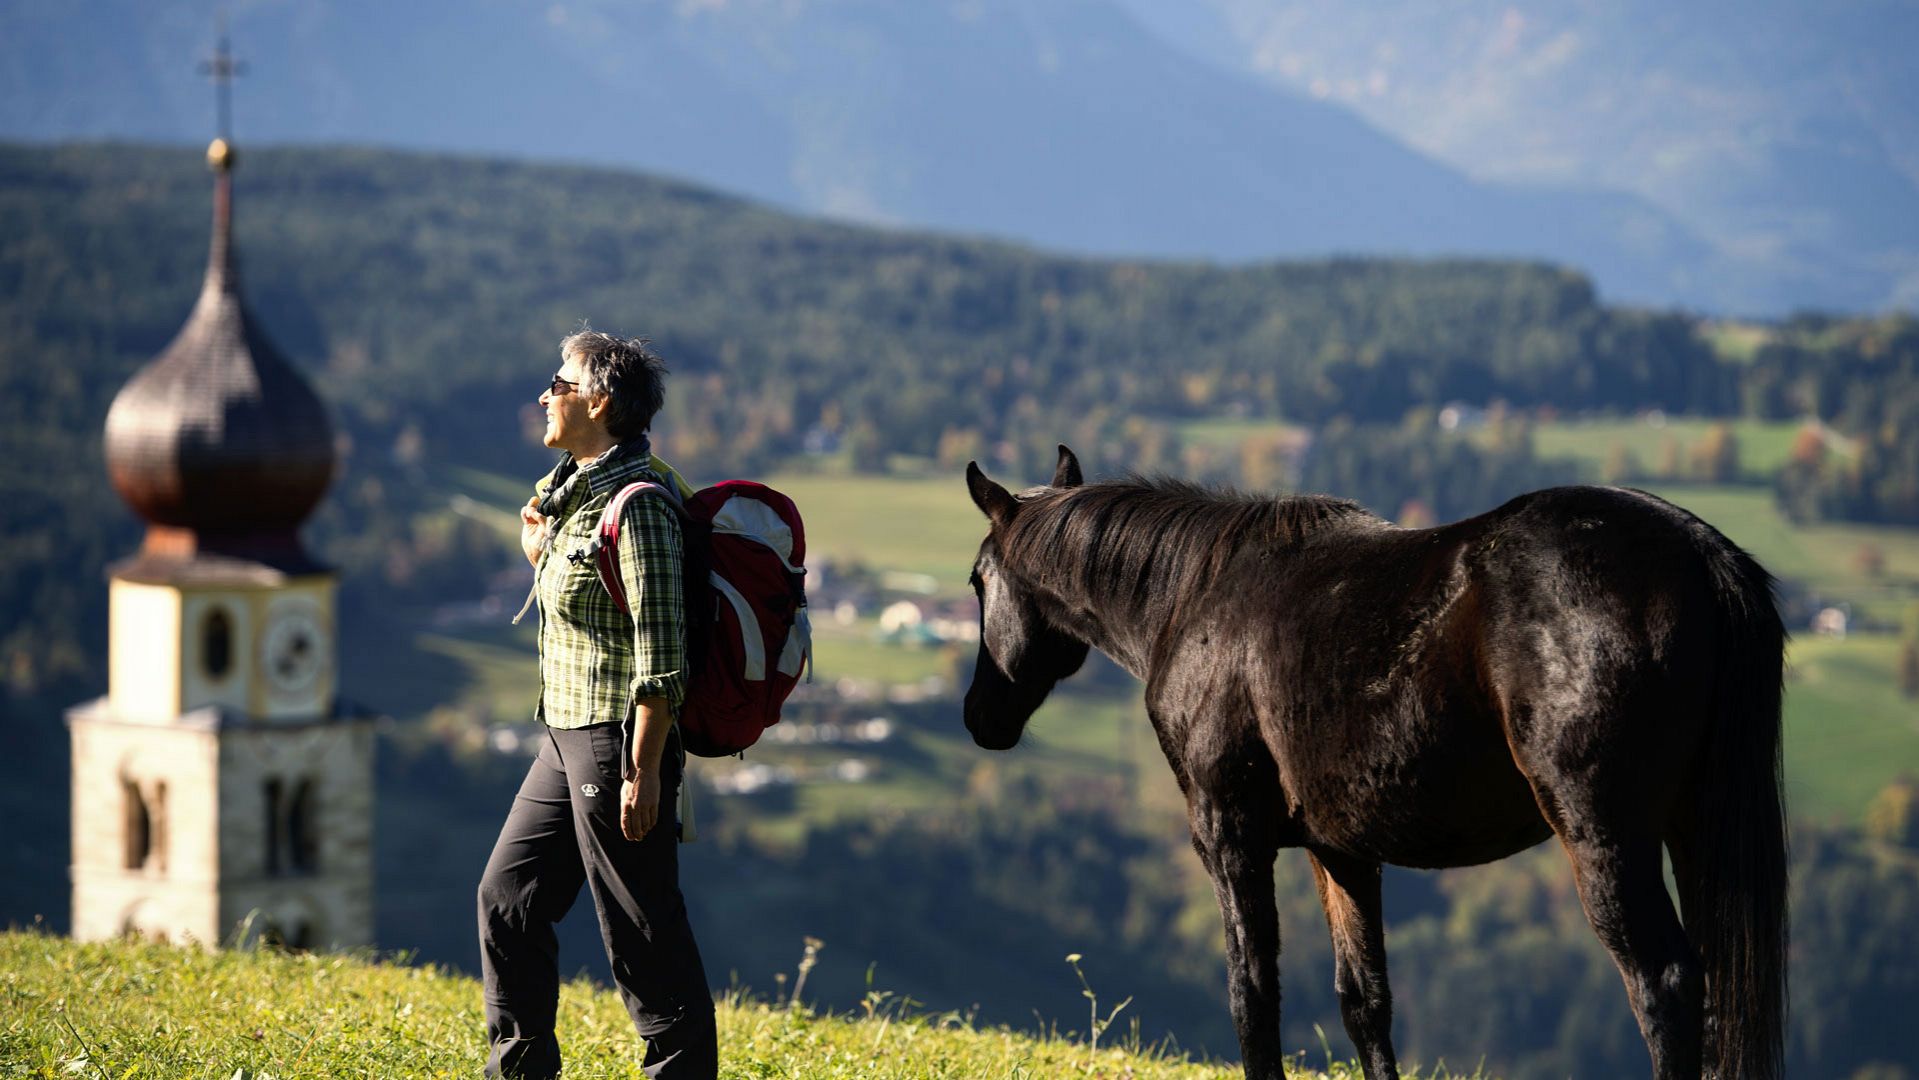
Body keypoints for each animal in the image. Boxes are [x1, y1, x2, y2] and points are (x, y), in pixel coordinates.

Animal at [967, 443, 1788, 1074]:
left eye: (978, 581)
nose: (979, 717)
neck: (1196, 601)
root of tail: (1698, 553)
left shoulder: (1230, 838)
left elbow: (1252, 997)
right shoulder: (1341, 851)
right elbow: (1364, 1002)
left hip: (1605, 836)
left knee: (1664, 985)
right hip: (1691, 826)